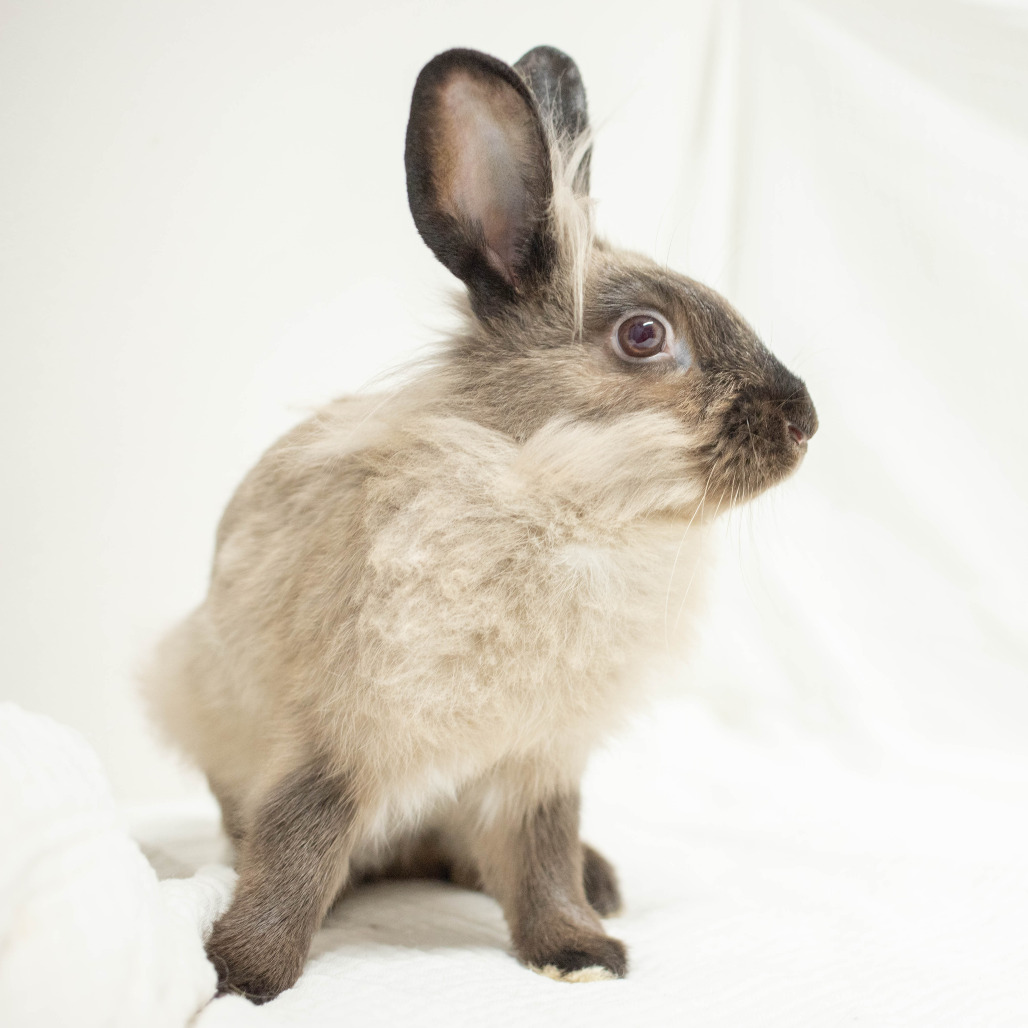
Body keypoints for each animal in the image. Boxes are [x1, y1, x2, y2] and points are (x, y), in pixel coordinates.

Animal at [145, 44, 817, 1003]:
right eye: (644, 336)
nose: (805, 420)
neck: (560, 505)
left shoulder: (539, 762)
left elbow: (541, 854)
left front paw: (578, 952)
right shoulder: (337, 736)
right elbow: (300, 842)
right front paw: (243, 972)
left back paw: (600, 882)